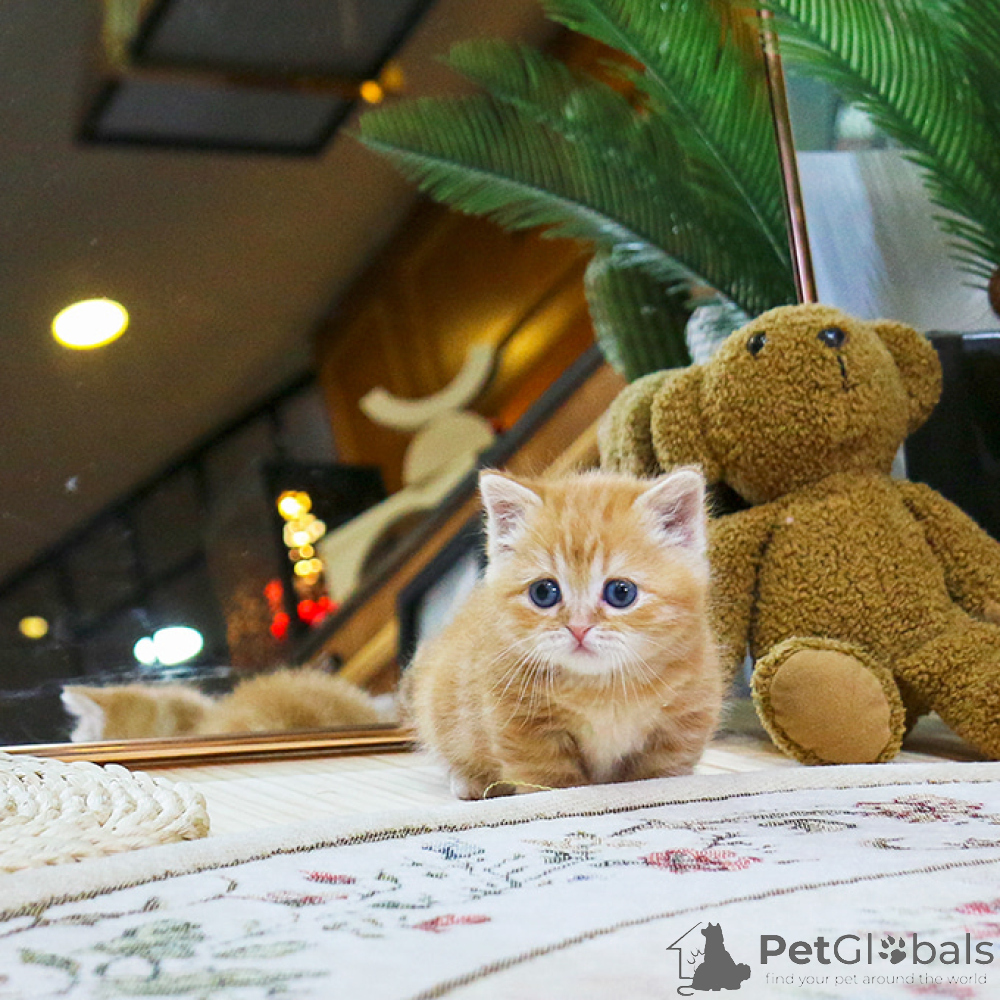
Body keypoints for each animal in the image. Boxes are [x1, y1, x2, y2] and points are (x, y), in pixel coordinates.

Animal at [403, 467, 723, 799]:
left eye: (621, 592)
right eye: (543, 592)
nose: (578, 628)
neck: (601, 689)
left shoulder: (685, 717)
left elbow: (660, 775)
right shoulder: (523, 725)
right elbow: (551, 782)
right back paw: (469, 783)